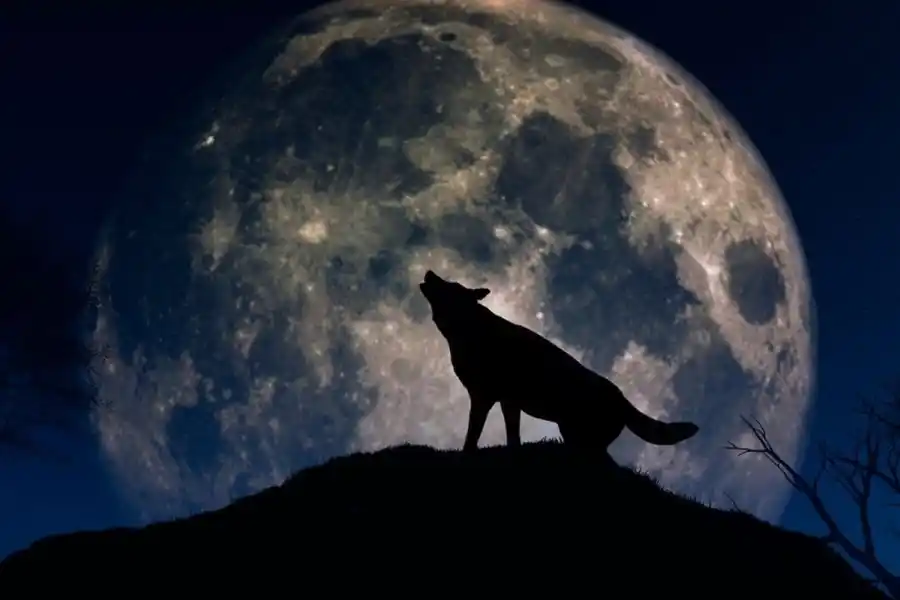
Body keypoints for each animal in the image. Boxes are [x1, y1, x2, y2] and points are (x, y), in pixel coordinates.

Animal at [419, 270, 699, 454]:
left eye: (451, 285)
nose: (430, 272)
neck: (467, 327)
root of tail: (623, 399)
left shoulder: (483, 397)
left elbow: (471, 438)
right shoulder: (509, 403)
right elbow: (513, 438)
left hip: (580, 439)